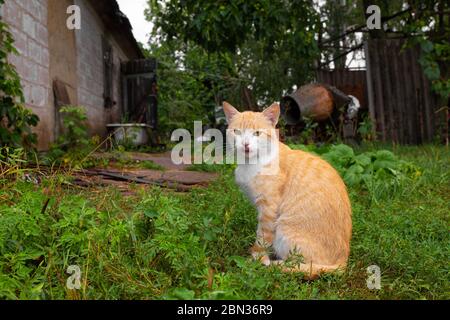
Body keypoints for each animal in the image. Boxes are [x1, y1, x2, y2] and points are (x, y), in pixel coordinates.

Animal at [223, 102, 354, 278]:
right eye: (237, 131)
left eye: (257, 133)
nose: (245, 144)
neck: (251, 164)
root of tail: (343, 262)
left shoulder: (268, 209)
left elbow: (262, 237)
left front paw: (257, 258)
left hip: (284, 231)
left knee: (301, 265)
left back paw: (276, 264)